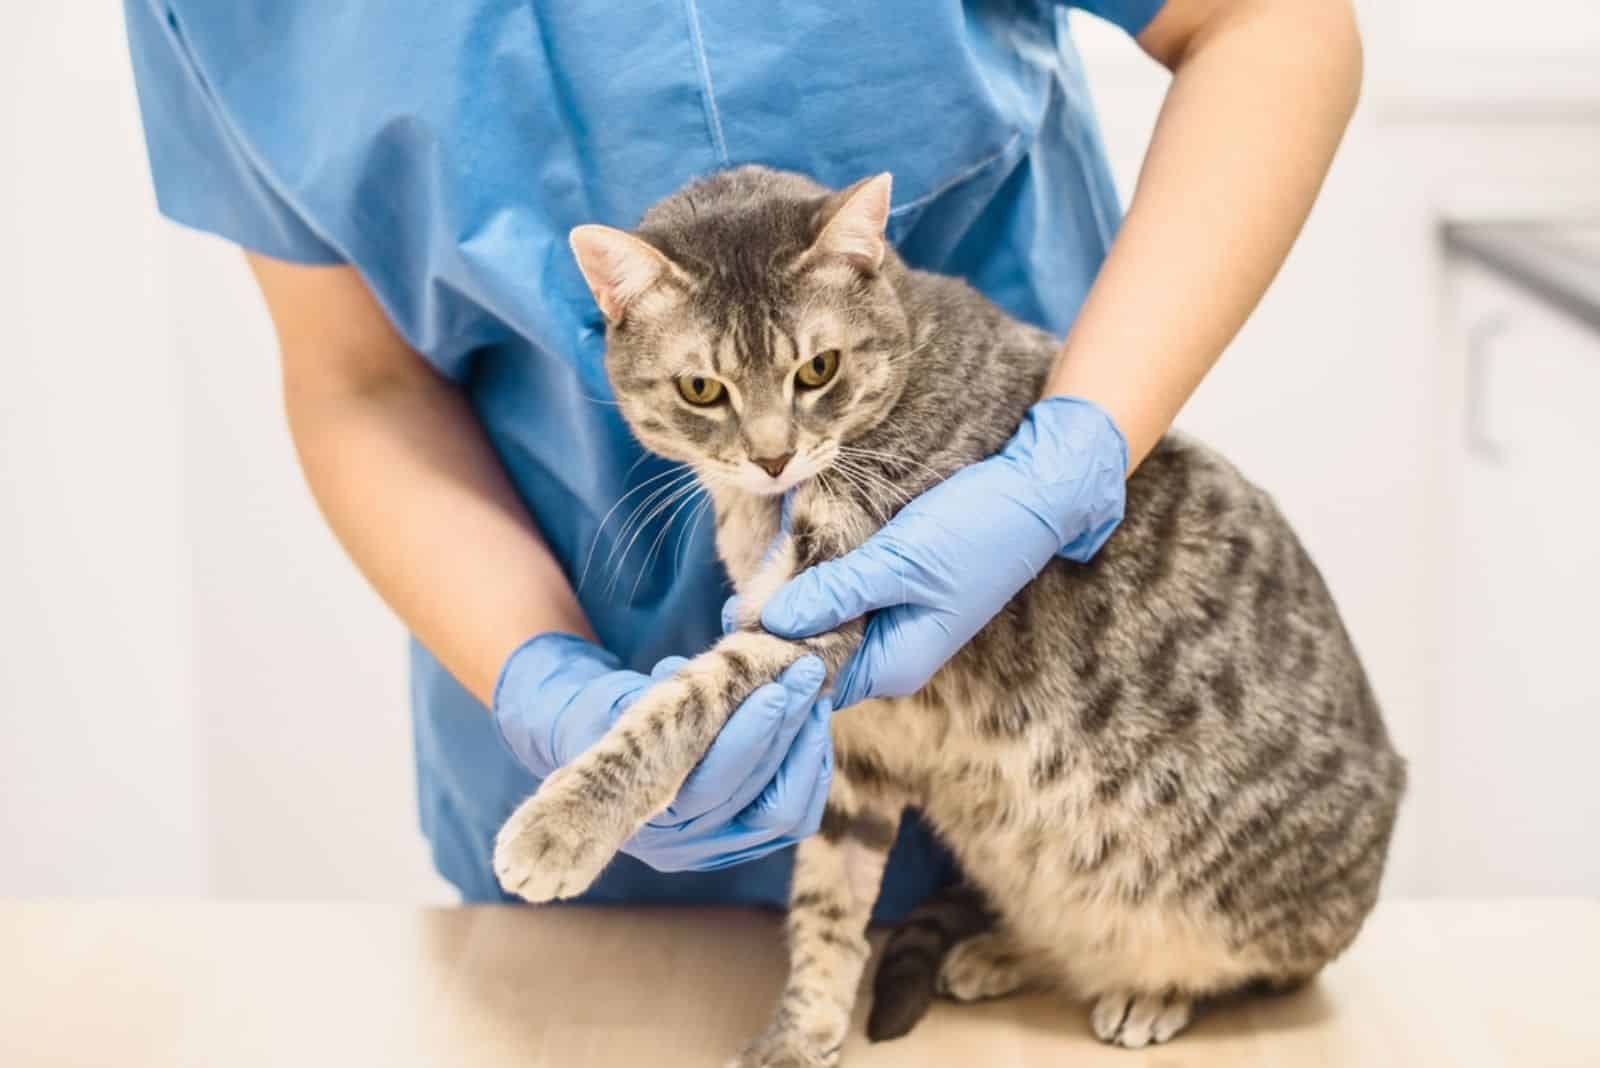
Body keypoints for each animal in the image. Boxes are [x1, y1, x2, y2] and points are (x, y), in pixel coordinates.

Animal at [492, 168, 1408, 1068]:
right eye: (701, 389)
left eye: (818, 369)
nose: (772, 456)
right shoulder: (856, 748)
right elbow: (828, 901)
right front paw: (803, 1029)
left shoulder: (823, 608)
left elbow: (686, 703)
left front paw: (561, 824)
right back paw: (998, 951)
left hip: (1260, 918)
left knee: (1253, 971)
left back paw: (1153, 991)